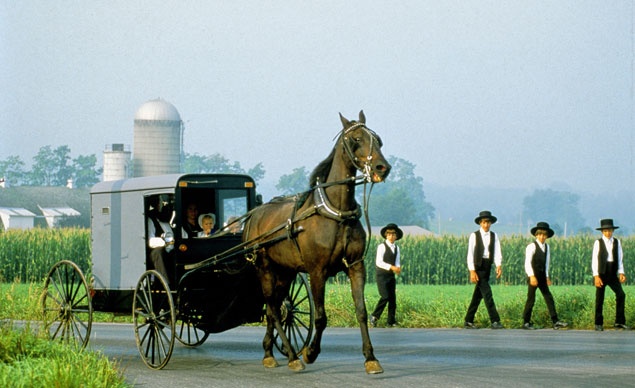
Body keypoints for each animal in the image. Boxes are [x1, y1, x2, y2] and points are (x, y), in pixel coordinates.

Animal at [243, 111, 392, 372]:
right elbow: (321, 317)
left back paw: (269, 352)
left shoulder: (356, 267)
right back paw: (293, 356)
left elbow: (361, 311)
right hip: (264, 267)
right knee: (272, 307)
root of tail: (254, 215)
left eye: (378, 140)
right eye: (355, 138)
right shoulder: (317, 271)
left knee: (275, 309)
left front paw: (370, 358)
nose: (382, 167)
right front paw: (310, 352)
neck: (336, 213)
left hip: (285, 271)